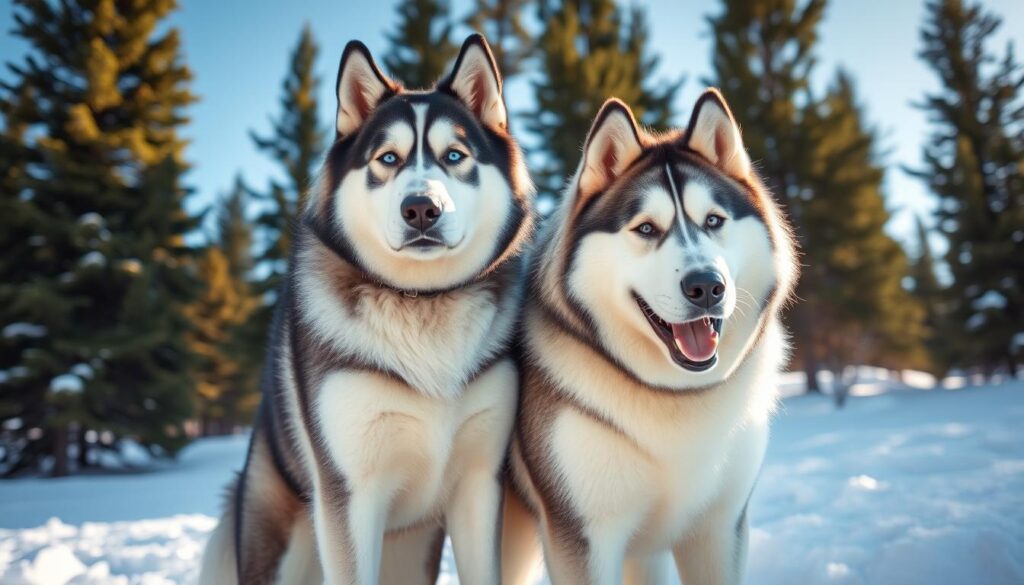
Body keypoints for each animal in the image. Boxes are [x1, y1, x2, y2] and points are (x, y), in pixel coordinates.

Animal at [201, 35, 536, 585]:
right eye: (388, 157)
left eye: (455, 155)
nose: (421, 208)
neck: (422, 303)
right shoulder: (350, 494)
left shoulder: (479, 482)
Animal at [499, 89, 794, 581]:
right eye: (646, 228)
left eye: (713, 221)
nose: (706, 286)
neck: (674, 395)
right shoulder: (583, 537)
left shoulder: (719, 530)